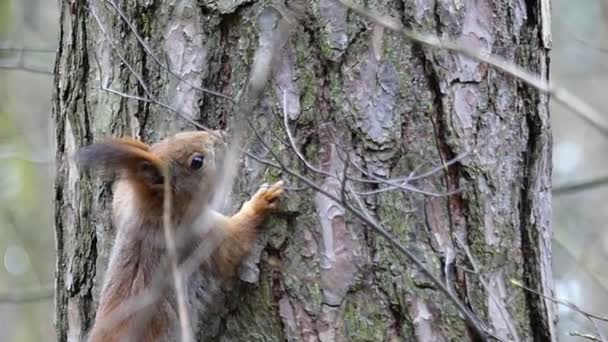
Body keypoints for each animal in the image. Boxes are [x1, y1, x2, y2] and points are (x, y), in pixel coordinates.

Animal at [77, 131, 284, 342]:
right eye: (197, 162)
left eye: (174, 136)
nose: (220, 135)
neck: (156, 212)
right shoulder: (199, 237)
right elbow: (235, 242)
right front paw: (261, 202)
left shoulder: (127, 209)